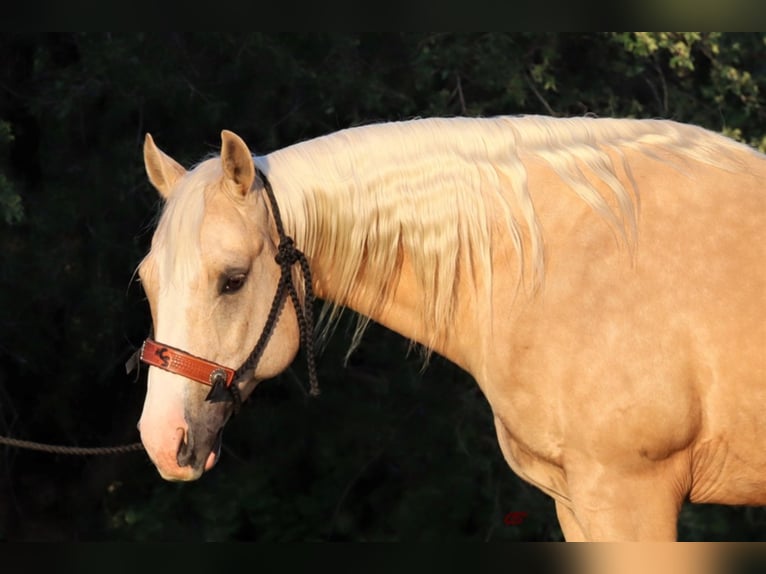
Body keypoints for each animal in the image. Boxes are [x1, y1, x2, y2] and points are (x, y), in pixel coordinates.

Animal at [136, 115, 766, 544]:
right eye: (147, 280)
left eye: (233, 280)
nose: (162, 440)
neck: (572, 268)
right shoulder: (576, 501)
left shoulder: (630, 495)